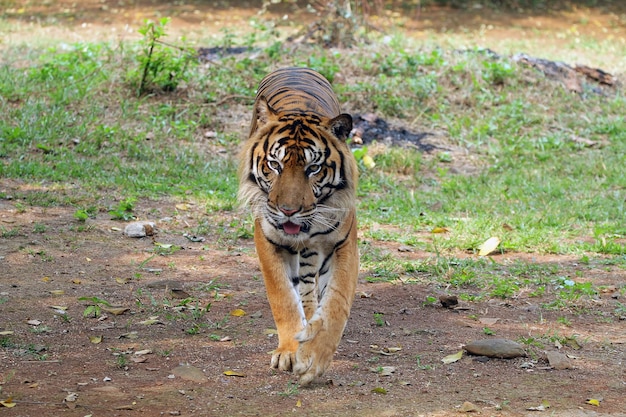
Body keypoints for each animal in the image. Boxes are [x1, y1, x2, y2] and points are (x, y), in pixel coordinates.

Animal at [238, 67, 358, 384]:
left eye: (313, 168)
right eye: (274, 165)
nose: (288, 211)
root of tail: (295, 67)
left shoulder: (343, 244)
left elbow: (336, 303)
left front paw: (314, 358)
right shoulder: (268, 240)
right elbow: (283, 298)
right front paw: (290, 352)